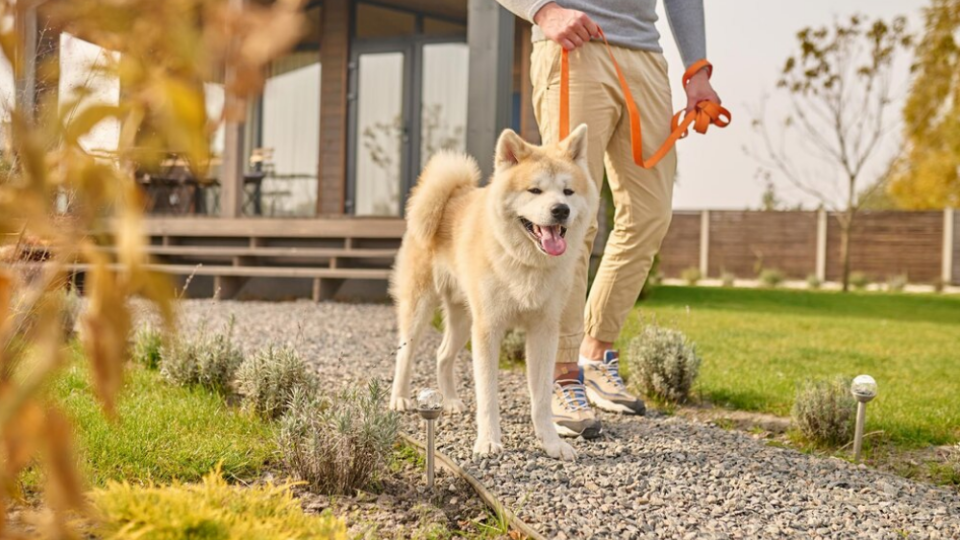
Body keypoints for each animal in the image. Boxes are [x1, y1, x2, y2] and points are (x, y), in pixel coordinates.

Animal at [386, 124, 596, 462]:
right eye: (534, 191)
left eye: (568, 192)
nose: (560, 210)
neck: (526, 262)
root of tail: (452, 195)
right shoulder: (488, 330)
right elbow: (487, 396)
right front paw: (488, 442)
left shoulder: (543, 331)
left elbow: (541, 399)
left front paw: (551, 443)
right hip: (420, 308)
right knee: (405, 354)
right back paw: (400, 398)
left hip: (462, 319)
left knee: (442, 355)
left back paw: (450, 401)